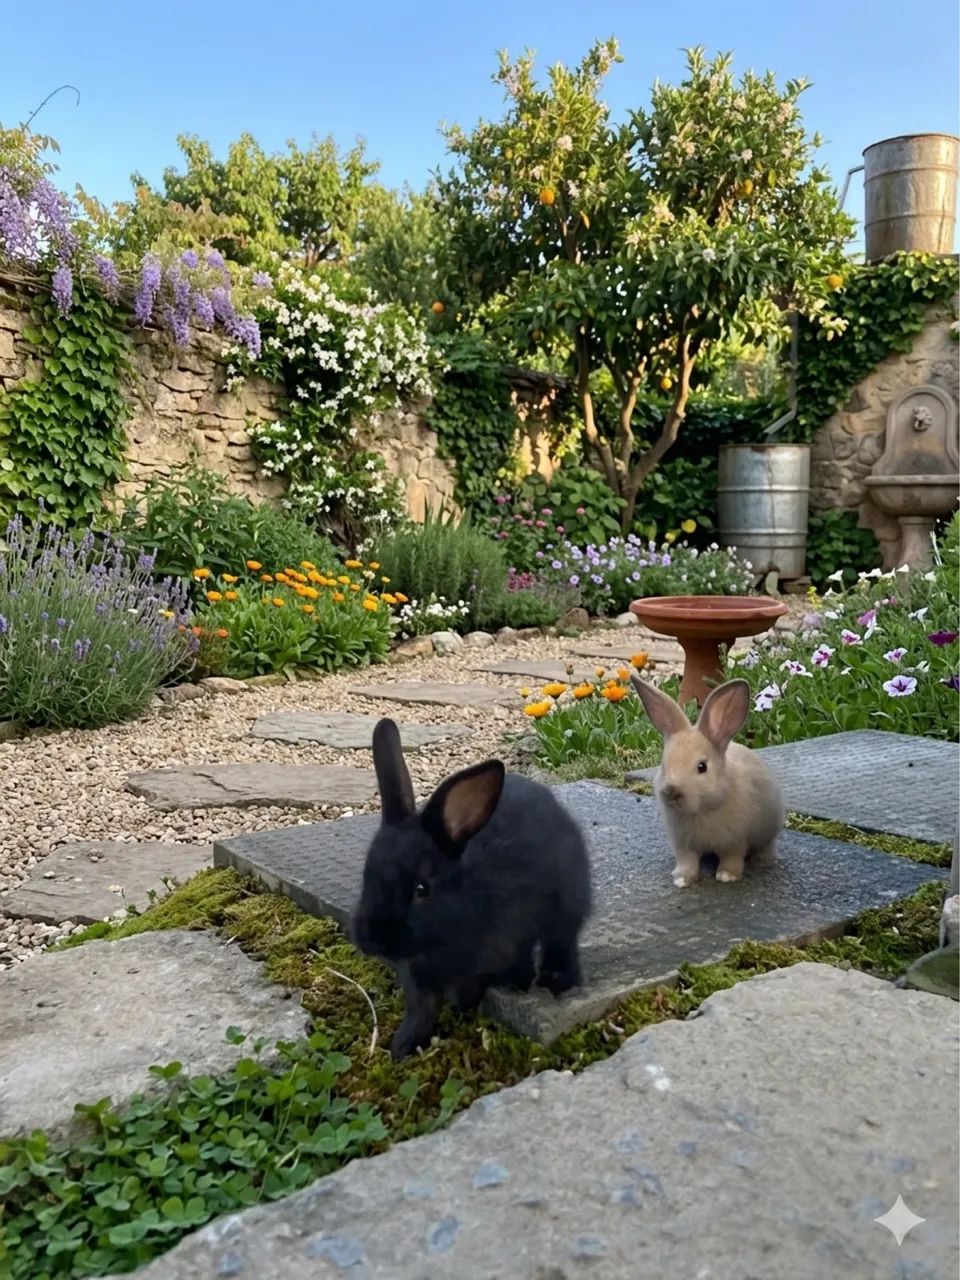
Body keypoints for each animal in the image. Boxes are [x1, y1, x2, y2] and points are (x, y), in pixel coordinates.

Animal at [350, 717, 592, 1060]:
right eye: (367, 873)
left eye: (422, 889)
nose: (371, 939)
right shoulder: (416, 974)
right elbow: (422, 1007)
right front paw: (404, 1045)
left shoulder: (497, 950)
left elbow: (474, 985)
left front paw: (462, 1007)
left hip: (568, 904)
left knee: (560, 942)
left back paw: (556, 980)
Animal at [630, 676, 785, 889]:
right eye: (663, 764)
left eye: (702, 767)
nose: (672, 792)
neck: (702, 810)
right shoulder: (683, 843)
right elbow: (687, 861)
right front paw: (681, 879)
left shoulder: (735, 841)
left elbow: (732, 858)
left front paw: (727, 876)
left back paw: (764, 861)